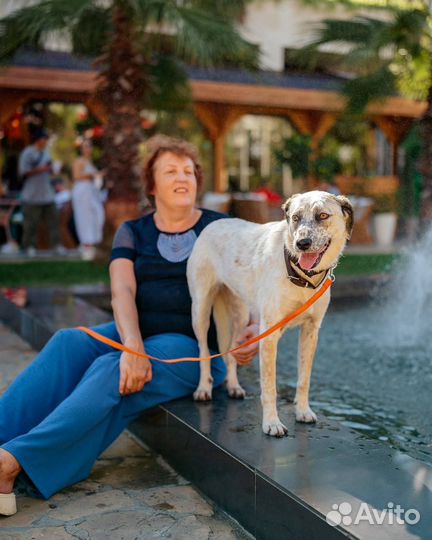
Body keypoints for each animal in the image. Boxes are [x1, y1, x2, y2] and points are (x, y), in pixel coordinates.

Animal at [187, 192, 352, 436]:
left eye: (322, 215)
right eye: (295, 217)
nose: (302, 244)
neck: (299, 274)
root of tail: (214, 223)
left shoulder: (310, 331)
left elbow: (304, 379)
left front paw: (303, 411)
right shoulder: (269, 334)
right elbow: (269, 386)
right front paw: (272, 423)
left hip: (239, 315)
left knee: (230, 350)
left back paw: (234, 386)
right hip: (200, 310)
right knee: (203, 350)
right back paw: (203, 388)